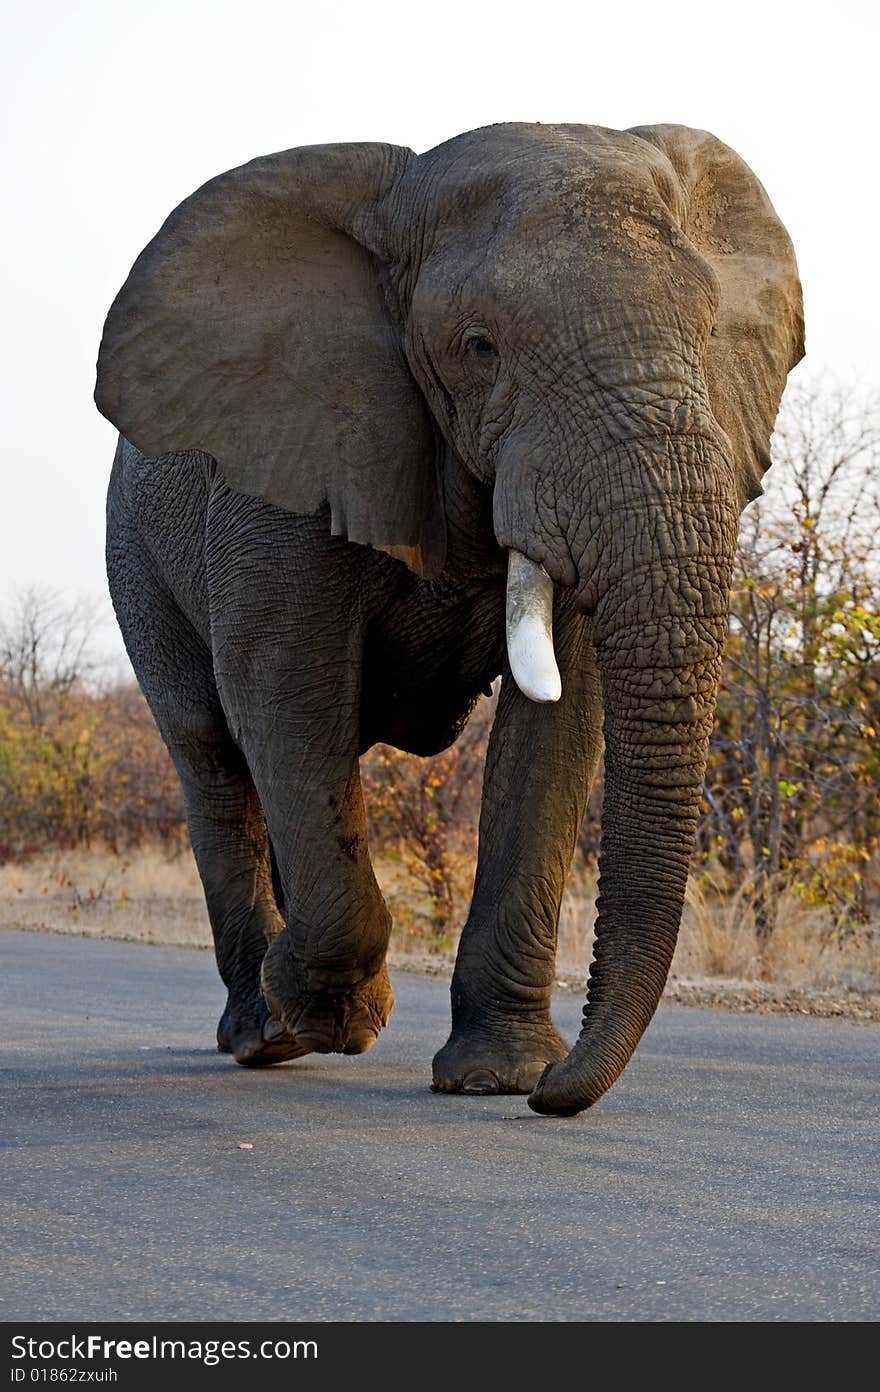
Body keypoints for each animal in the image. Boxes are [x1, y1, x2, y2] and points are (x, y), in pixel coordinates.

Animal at [96, 119, 802, 1119]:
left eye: (708, 334)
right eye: (479, 346)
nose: (554, 1095)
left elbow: (558, 722)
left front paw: (497, 1076)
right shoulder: (288, 456)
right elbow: (284, 688)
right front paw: (334, 1014)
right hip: (135, 560)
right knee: (214, 755)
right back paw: (263, 1032)